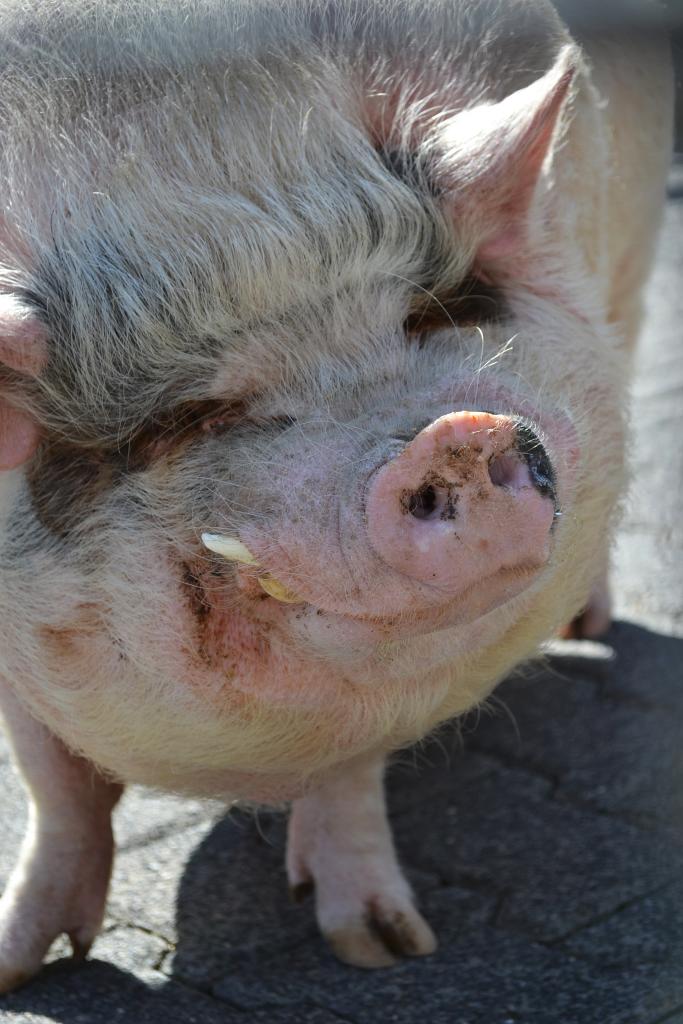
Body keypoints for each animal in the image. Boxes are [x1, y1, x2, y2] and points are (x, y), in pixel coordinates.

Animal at [0, 0, 674, 989]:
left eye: (427, 315)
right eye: (196, 414)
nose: (456, 436)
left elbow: (351, 770)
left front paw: (386, 951)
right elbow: (52, 786)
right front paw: (18, 969)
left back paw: (584, 628)